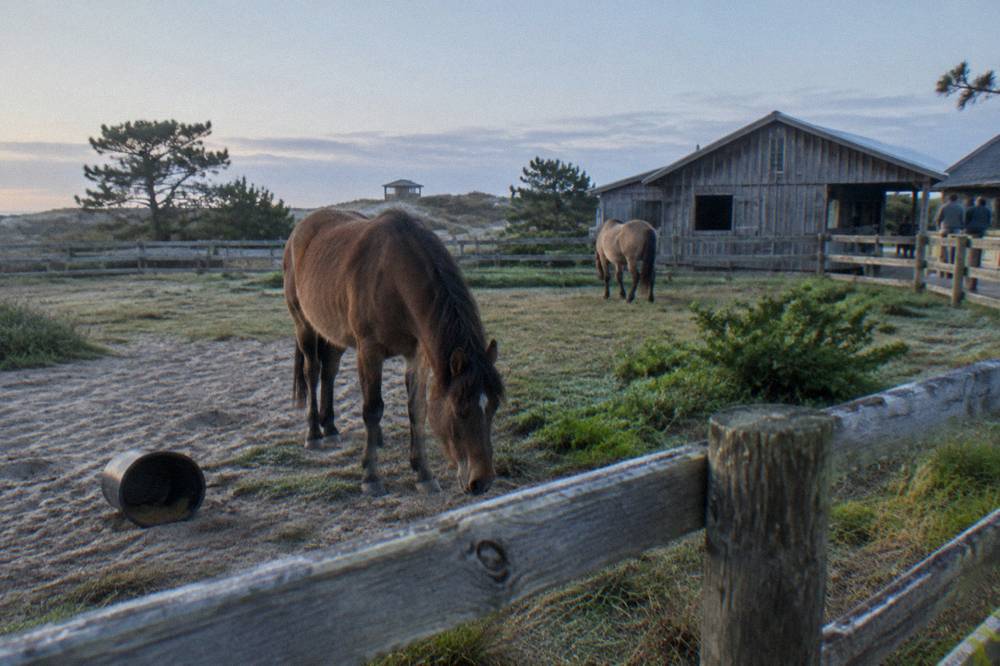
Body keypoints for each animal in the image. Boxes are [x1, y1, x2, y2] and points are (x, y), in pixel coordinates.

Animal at [283, 208, 504, 496]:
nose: (482, 482)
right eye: (459, 410)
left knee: (329, 372)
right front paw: (371, 476)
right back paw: (314, 434)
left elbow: (417, 409)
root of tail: (299, 231)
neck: (395, 276)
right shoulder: (369, 351)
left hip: (334, 332)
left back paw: (331, 428)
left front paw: (423, 473)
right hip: (304, 324)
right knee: (313, 372)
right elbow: (372, 409)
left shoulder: (417, 355)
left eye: (494, 406)